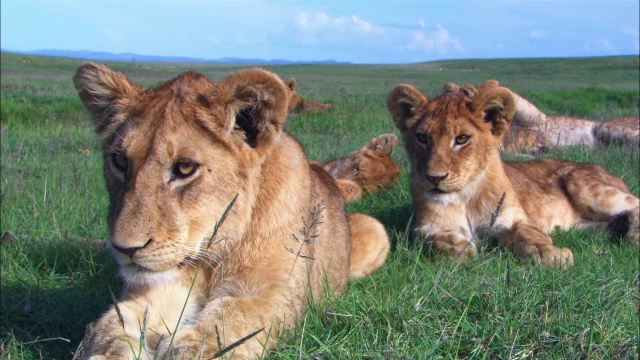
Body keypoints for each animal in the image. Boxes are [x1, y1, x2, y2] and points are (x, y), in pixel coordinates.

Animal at [72, 63, 388, 358]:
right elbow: (111, 327)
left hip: (375, 230)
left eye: (184, 168)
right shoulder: (157, 290)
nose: (125, 249)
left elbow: (227, 322)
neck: (211, 255)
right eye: (119, 161)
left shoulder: (268, 294)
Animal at [388, 83, 636, 266]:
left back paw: (634, 235)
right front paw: (455, 248)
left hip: (582, 183)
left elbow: (530, 235)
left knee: (635, 204)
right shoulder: (426, 226)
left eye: (461, 139)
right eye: (422, 138)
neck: (466, 194)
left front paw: (549, 254)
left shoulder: (512, 220)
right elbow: (432, 238)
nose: (434, 178)